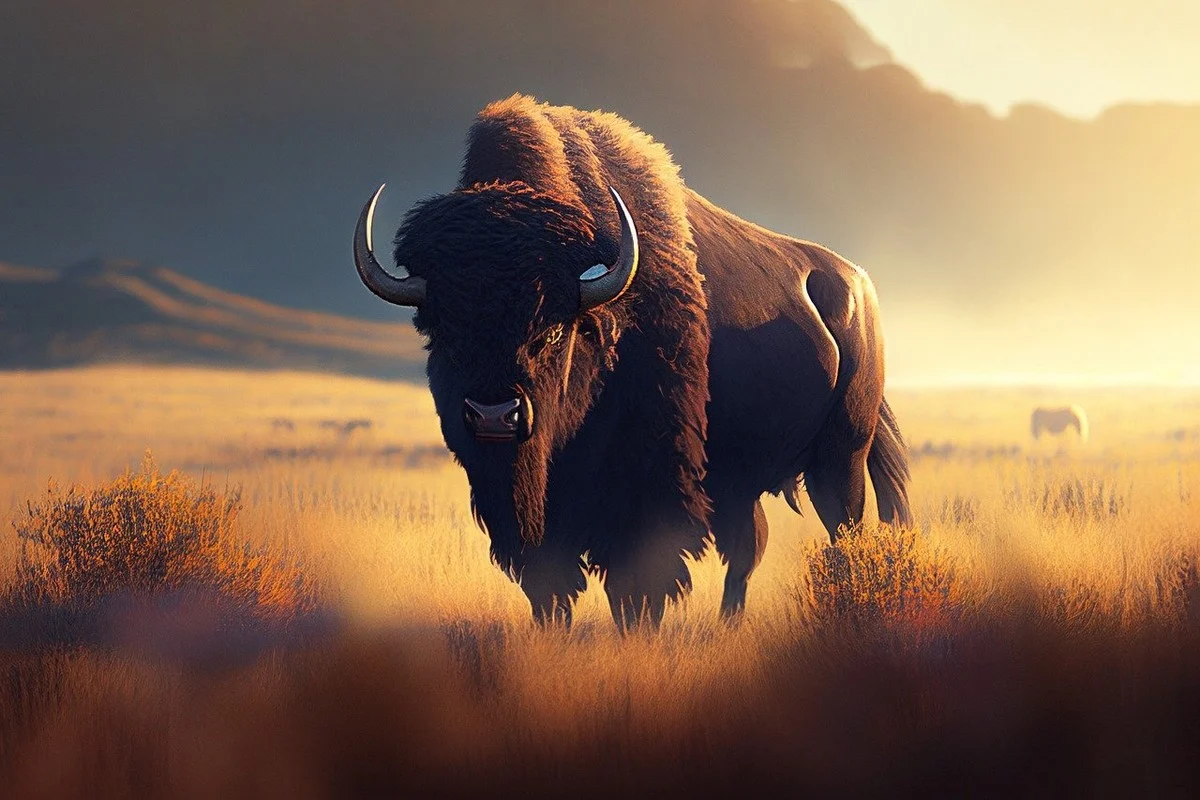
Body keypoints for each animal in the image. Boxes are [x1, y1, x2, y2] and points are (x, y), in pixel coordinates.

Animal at [353, 95, 911, 628]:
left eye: (552, 330)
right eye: (441, 334)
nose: (495, 416)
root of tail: (857, 284)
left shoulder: (645, 487)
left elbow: (636, 585)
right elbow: (548, 586)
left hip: (841, 458)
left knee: (841, 531)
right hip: (746, 480)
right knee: (749, 547)